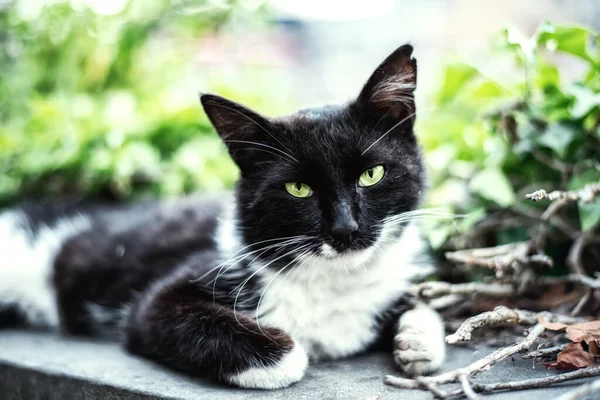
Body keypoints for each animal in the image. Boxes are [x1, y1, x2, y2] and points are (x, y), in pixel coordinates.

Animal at [0, 45, 446, 390]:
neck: (334, 280)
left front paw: (416, 337)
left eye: (372, 174)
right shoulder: (158, 301)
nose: (345, 229)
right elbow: (171, 314)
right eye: (298, 188)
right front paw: (286, 352)